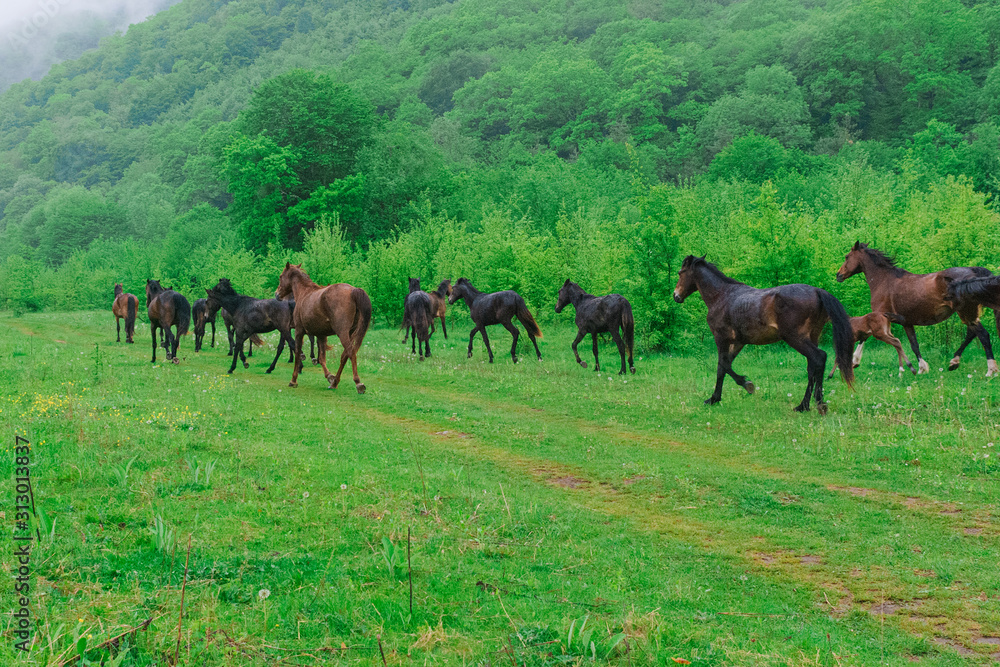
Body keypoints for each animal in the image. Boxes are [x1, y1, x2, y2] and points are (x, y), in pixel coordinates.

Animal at [275, 263, 372, 393]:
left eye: (281, 276)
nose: (277, 294)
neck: (304, 293)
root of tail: (353, 290)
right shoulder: (321, 335)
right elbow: (321, 358)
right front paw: (330, 377)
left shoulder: (299, 331)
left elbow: (298, 352)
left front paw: (293, 380)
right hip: (350, 333)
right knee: (344, 355)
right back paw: (335, 383)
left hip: (342, 333)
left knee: (350, 352)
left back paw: (358, 383)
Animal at [673, 255, 854, 413]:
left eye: (680, 273)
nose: (676, 296)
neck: (722, 296)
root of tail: (817, 291)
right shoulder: (738, 342)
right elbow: (723, 367)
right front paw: (714, 398)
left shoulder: (721, 338)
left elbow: (723, 364)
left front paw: (746, 384)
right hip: (811, 337)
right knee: (813, 367)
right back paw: (803, 406)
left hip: (795, 338)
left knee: (819, 357)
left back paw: (818, 404)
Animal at [836, 242, 998, 377]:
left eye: (847, 257)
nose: (838, 275)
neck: (884, 281)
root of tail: (973, 272)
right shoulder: (906, 322)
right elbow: (914, 344)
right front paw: (922, 368)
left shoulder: (880, 317)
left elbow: (865, 335)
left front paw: (854, 361)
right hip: (969, 314)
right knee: (972, 333)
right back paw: (954, 363)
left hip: (965, 312)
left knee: (983, 335)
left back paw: (991, 370)